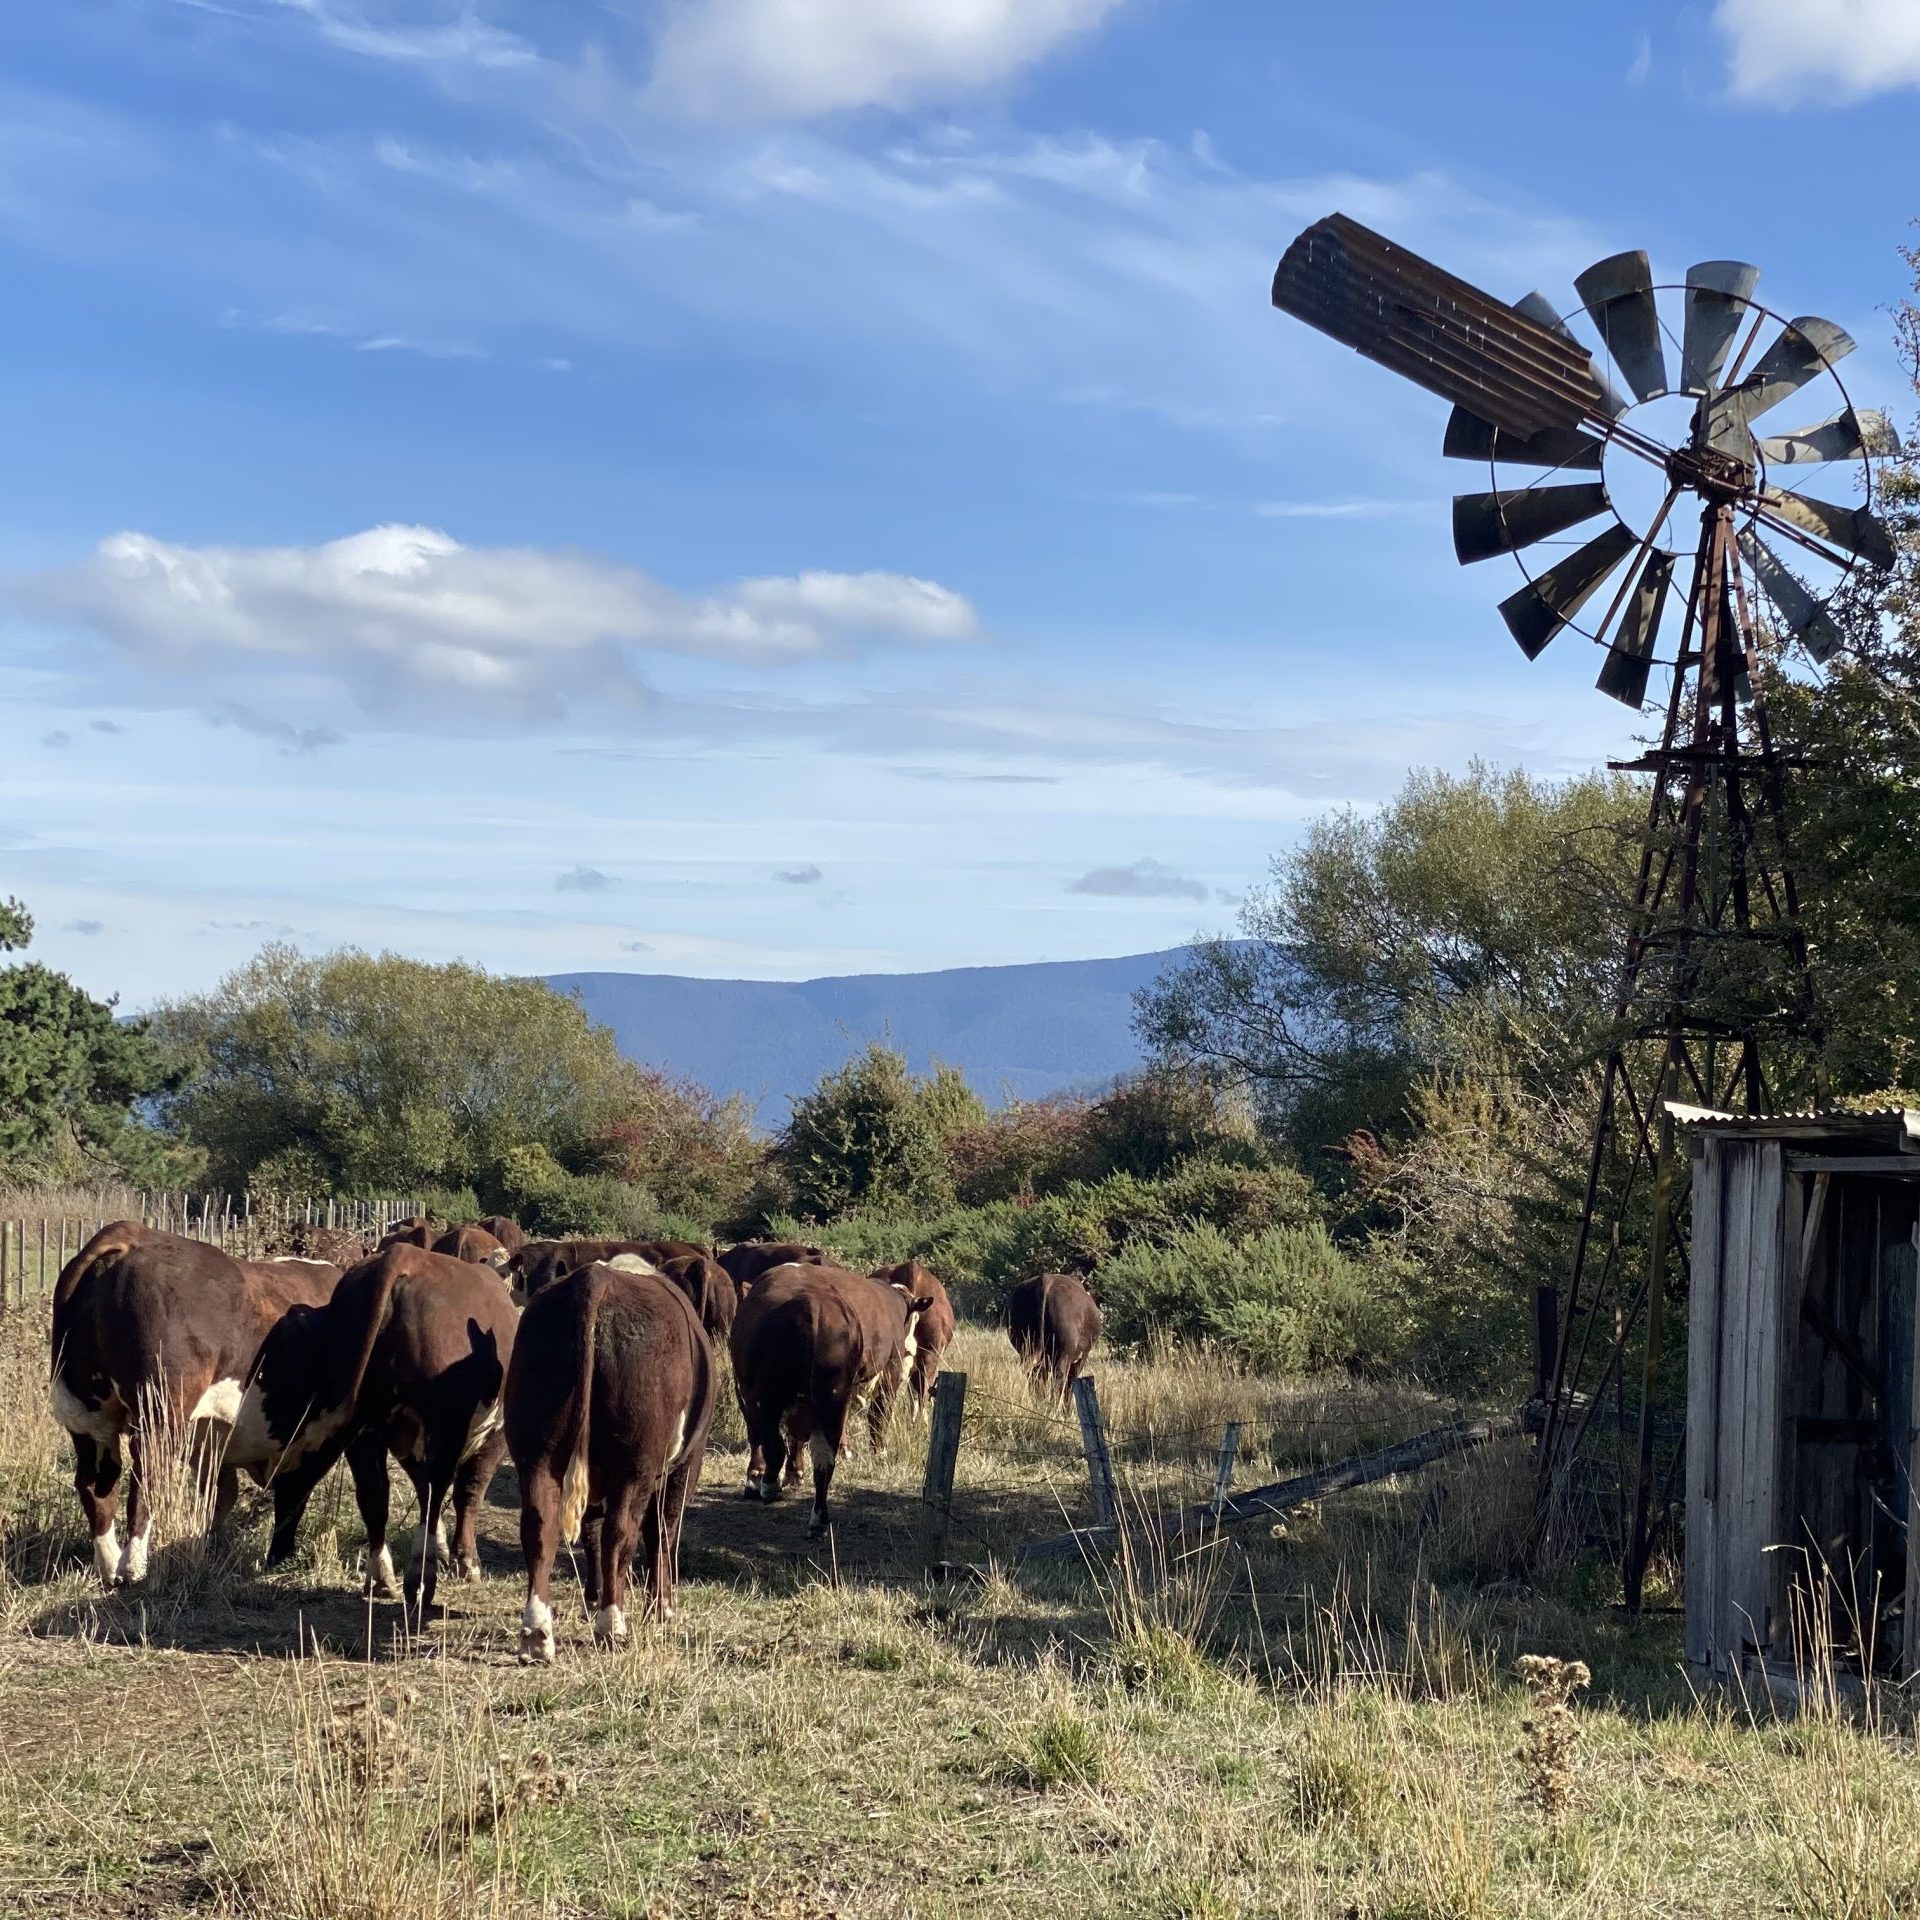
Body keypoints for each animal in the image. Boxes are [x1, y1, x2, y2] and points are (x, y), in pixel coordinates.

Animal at [49, 1223, 341, 1586]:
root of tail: (132, 1235)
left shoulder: (212, 1444)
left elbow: (220, 1497)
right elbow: (291, 1497)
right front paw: (278, 1558)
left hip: (86, 1418)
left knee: (96, 1485)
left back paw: (111, 1566)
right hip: (159, 1415)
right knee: (146, 1481)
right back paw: (134, 1568)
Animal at [239, 1242, 517, 1618]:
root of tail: (404, 1255)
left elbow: (419, 1490)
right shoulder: (495, 1437)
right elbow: (467, 1492)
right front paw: (465, 1561)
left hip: (363, 1428)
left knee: (374, 1494)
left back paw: (381, 1577)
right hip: (443, 1427)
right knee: (437, 1486)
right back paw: (420, 1580)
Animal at [505, 1256, 716, 1661]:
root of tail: (596, 1279)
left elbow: (591, 1533)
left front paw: (592, 1599)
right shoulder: (685, 1464)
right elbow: (662, 1530)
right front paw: (662, 1608)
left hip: (535, 1451)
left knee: (539, 1526)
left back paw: (537, 1633)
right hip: (634, 1464)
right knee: (621, 1531)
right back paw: (612, 1624)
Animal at [729, 1264, 932, 1537]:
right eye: (915, 1318)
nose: (912, 1348)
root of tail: (811, 1304)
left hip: (766, 1393)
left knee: (773, 1442)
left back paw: (770, 1486)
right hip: (832, 1395)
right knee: (824, 1457)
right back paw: (818, 1519)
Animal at [1006, 1272, 1101, 1403]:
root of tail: (1046, 1279)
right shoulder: (1081, 1359)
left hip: (1026, 1349)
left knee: (1034, 1375)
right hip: (1063, 1353)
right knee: (1059, 1378)